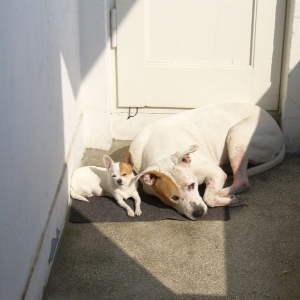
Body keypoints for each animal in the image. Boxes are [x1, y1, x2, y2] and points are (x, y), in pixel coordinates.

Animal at [129, 103, 284, 220]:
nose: (198, 212)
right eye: (174, 197)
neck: (161, 150)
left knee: (242, 181)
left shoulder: (215, 173)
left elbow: (208, 197)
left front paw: (228, 199)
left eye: (192, 185)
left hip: (236, 134)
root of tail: (279, 132)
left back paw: (225, 192)